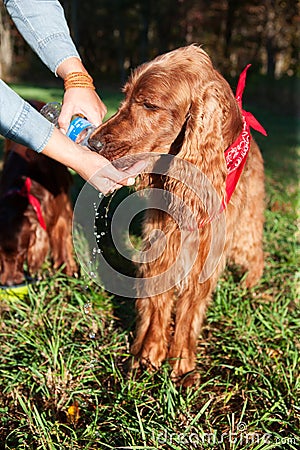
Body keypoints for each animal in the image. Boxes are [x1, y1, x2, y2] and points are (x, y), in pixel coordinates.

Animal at [88, 44, 264, 384]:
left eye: (149, 104)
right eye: (126, 96)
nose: (92, 142)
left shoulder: (205, 257)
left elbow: (188, 313)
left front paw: (181, 363)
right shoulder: (161, 245)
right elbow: (157, 305)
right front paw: (149, 354)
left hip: (244, 235)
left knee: (257, 254)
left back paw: (250, 286)